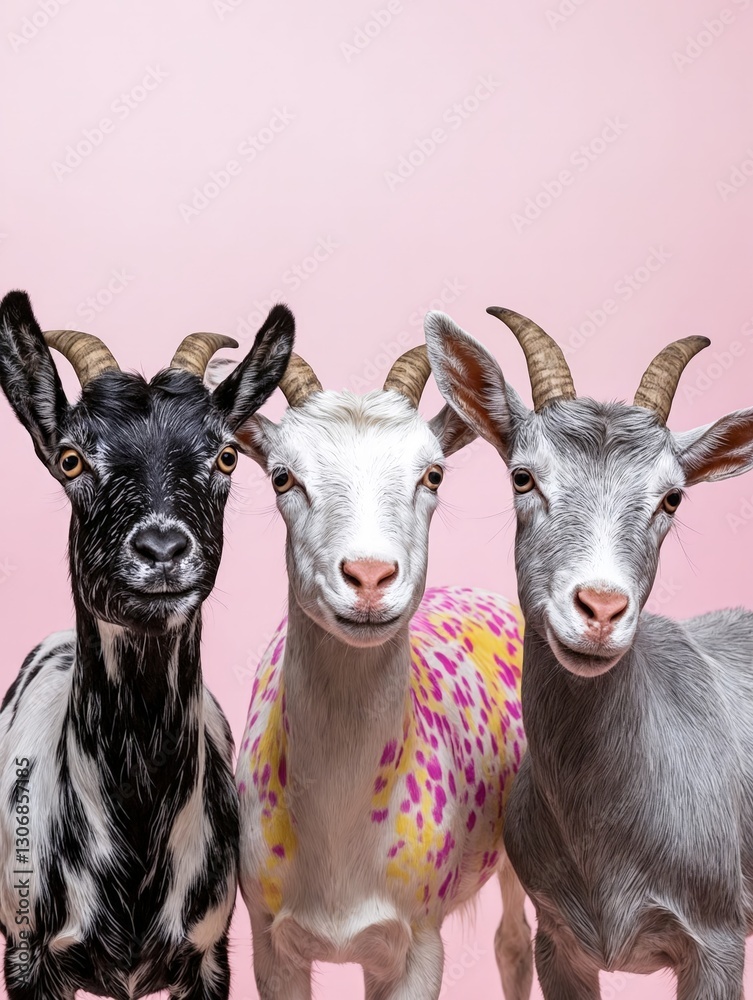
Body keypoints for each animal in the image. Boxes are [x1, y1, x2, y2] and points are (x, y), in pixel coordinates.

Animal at [228, 348, 533, 1000]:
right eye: (282, 476)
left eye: (433, 474)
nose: (369, 576)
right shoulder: (268, 941)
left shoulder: (418, 939)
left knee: (515, 945)